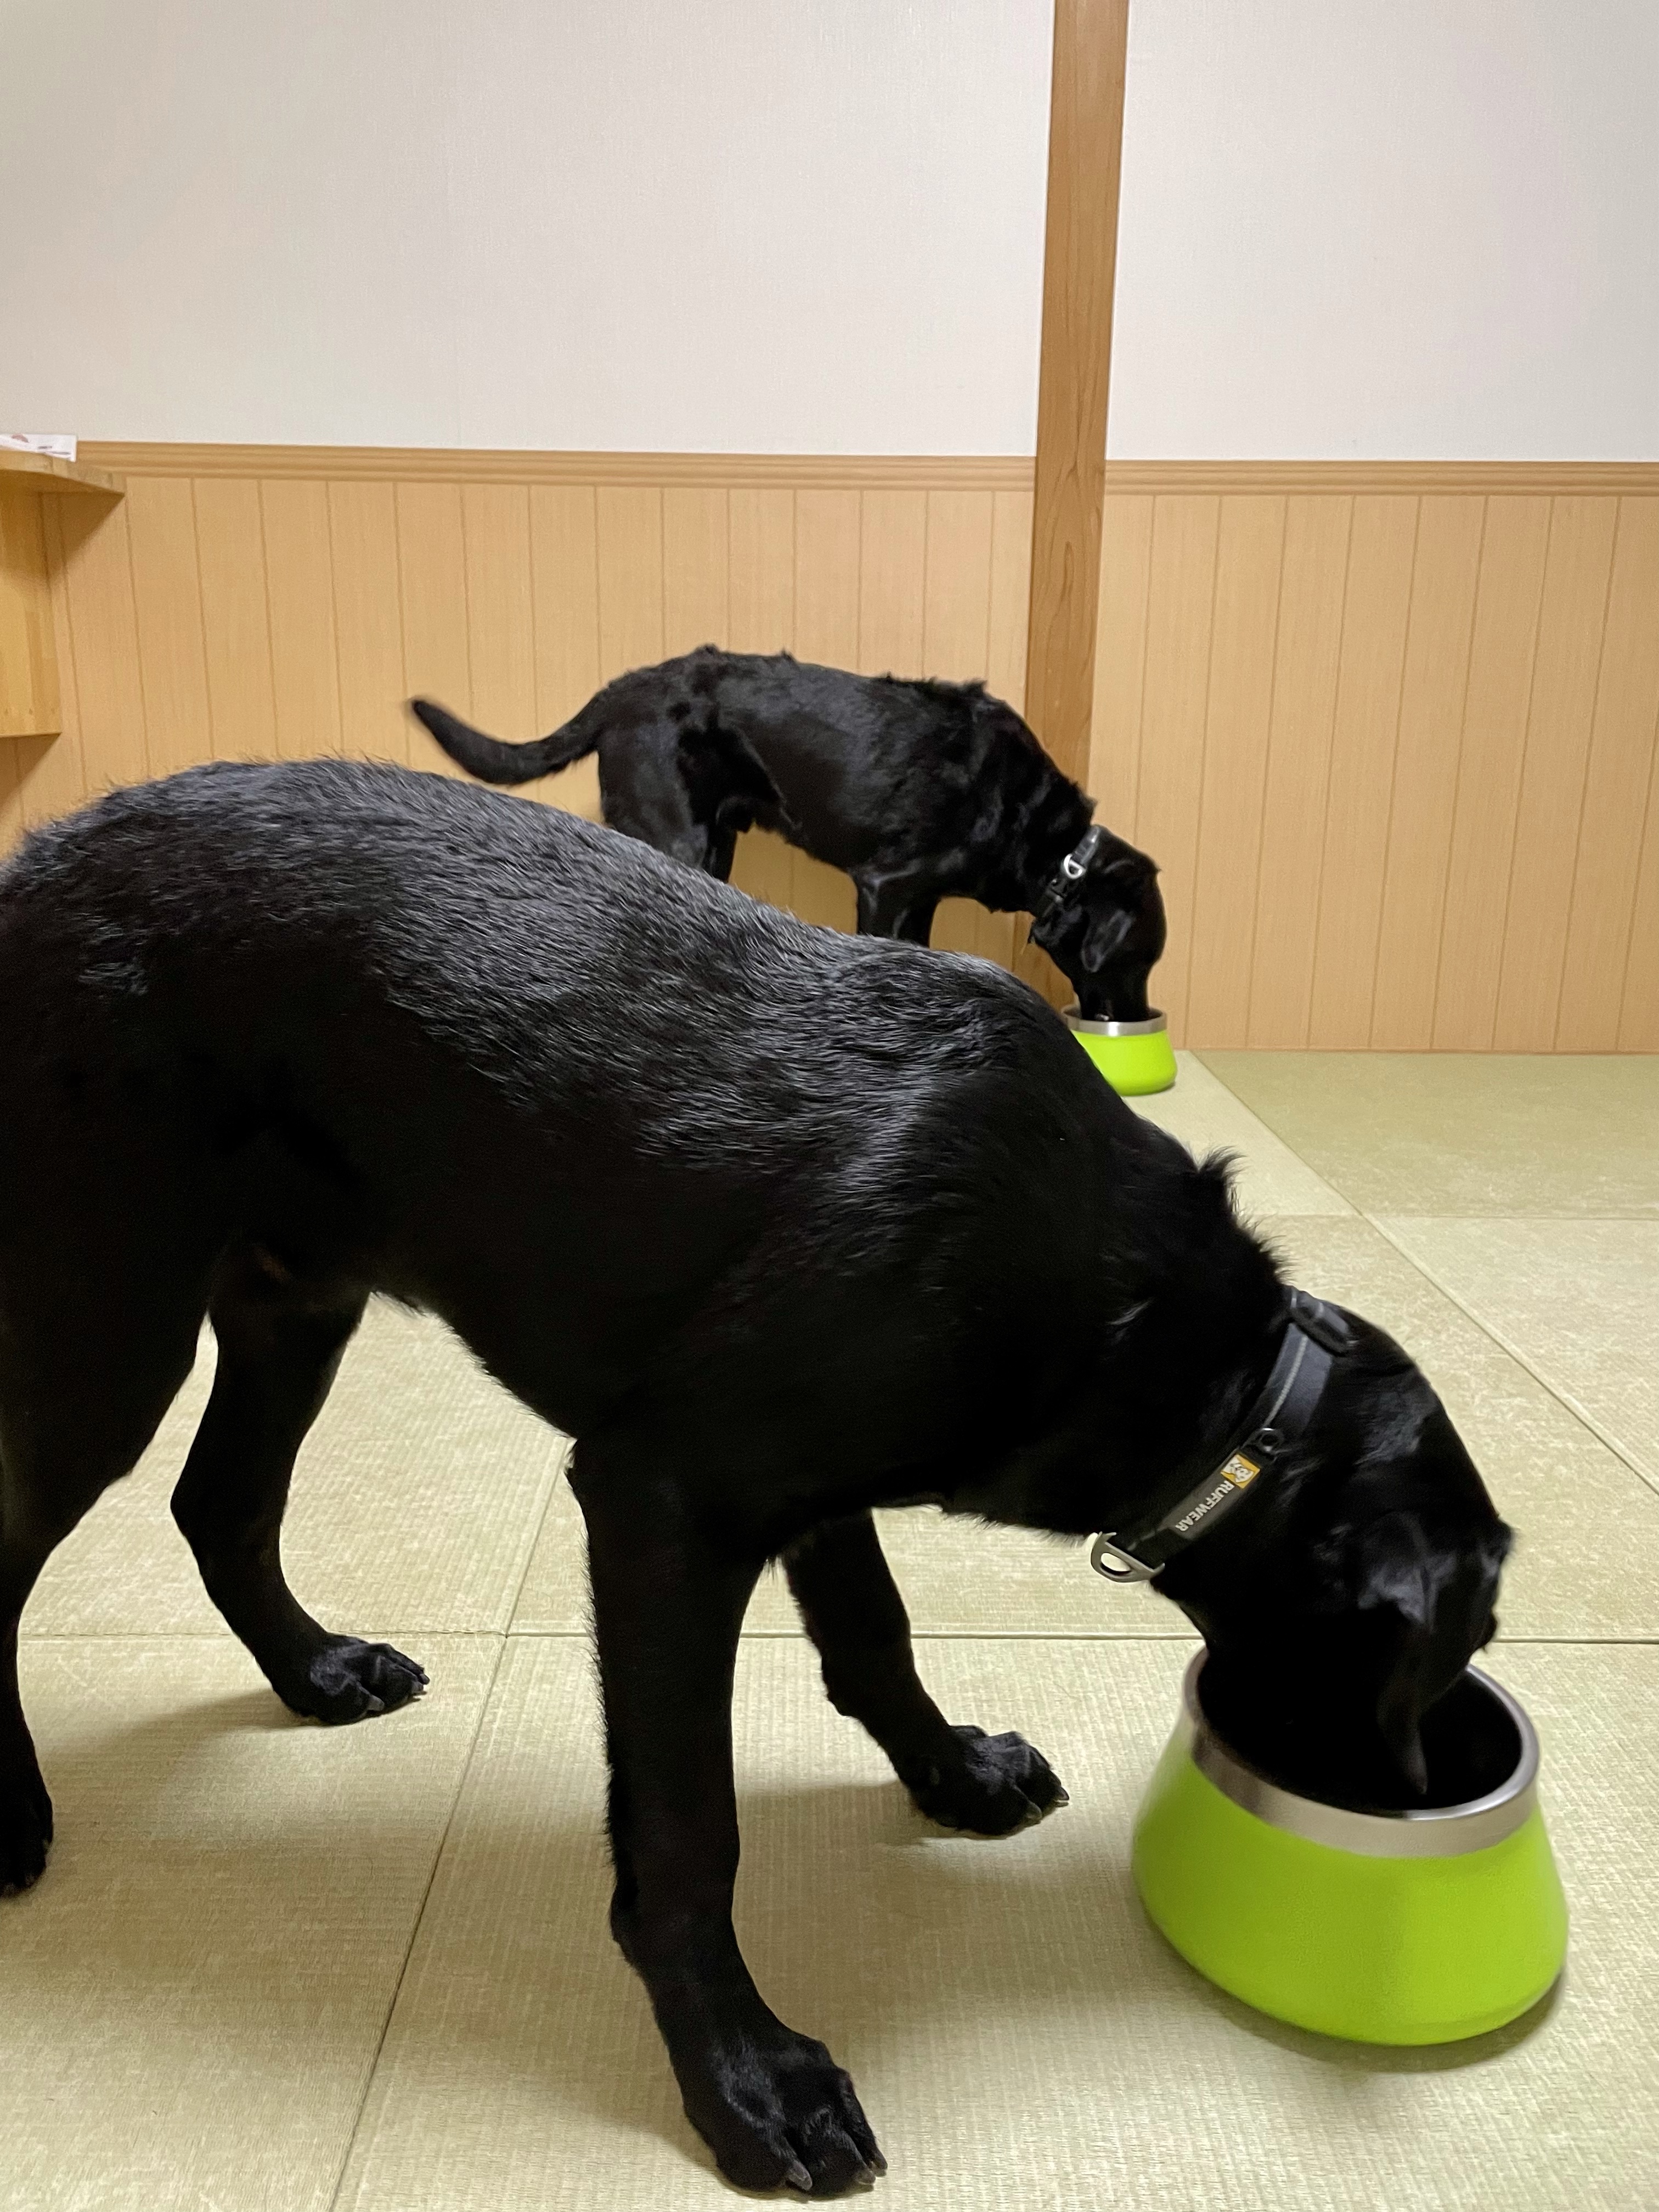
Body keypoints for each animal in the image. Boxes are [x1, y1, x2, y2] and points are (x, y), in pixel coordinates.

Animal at [0, 762, 1509, 2194]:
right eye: (1458, 1647)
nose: (1427, 1798)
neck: (1177, 1345)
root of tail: (29, 864)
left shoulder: (810, 1484)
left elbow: (876, 1638)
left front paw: (954, 1773)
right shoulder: (665, 1496)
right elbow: (687, 1833)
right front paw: (746, 2078)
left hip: (295, 1301)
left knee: (220, 1503)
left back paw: (316, 1673)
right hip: (102, 1326)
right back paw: (15, 1812)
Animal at [411, 647, 1167, 1021]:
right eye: (1137, 963)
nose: (1137, 1017)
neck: (1056, 850)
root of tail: (624, 690)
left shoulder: (919, 899)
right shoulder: (887, 886)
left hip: (715, 843)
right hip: (678, 838)